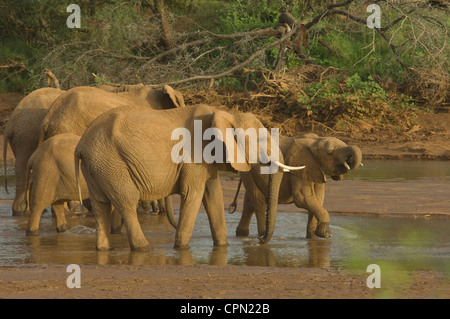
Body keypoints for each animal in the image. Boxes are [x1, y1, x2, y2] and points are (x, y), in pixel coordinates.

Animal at [2, 87, 64, 216]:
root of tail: (10, 123)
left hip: (21, 137)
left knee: (22, 167)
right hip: (27, 135)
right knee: (25, 165)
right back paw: (23, 210)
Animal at [75, 105, 304, 252]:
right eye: (262, 139)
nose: (261, 239)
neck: (227, 113)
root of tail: (81, 144)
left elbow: (213, 194)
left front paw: (223, 246)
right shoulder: (194, 154)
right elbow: (193, 193)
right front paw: (182, 248)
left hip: (97, 165)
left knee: (100, 204)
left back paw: (104, 249)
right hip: (111, 162)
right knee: (126, 201)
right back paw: (145, 248)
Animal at [232, 134, 362, 240]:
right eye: (331, 152)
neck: (315, 141)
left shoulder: (315, 170)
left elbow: (318, 199)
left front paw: (313, 238)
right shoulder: (299, 168)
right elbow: (302, 198)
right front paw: (326, 234)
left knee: (249, 202)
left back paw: (242, 234)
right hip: (247, 170)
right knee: (258, 200)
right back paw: (261, 235)